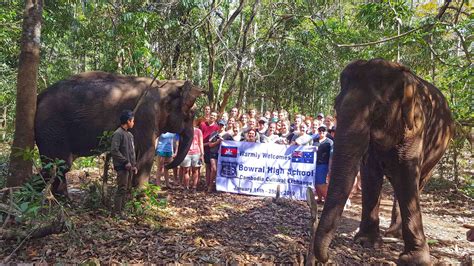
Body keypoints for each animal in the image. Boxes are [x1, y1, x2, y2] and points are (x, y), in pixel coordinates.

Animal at [34, 71, 202, 194]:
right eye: (190, 115)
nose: (167, 165)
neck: (163, 85)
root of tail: (39, 96)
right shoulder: (146, 115)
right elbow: (147, 152)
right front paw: (142, 195)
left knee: (59, 167)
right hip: (52, 129)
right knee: (58, 165)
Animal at [312, 58, 454, 264]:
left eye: (377, 109)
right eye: (336, 105)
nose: (326, 257)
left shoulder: (415, 128)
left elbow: (407, 175)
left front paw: (415, 260)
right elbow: (370, 175)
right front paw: (365, 242)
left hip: (436, 155)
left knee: (417, 183)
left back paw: (396, 234)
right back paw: (393, 233)